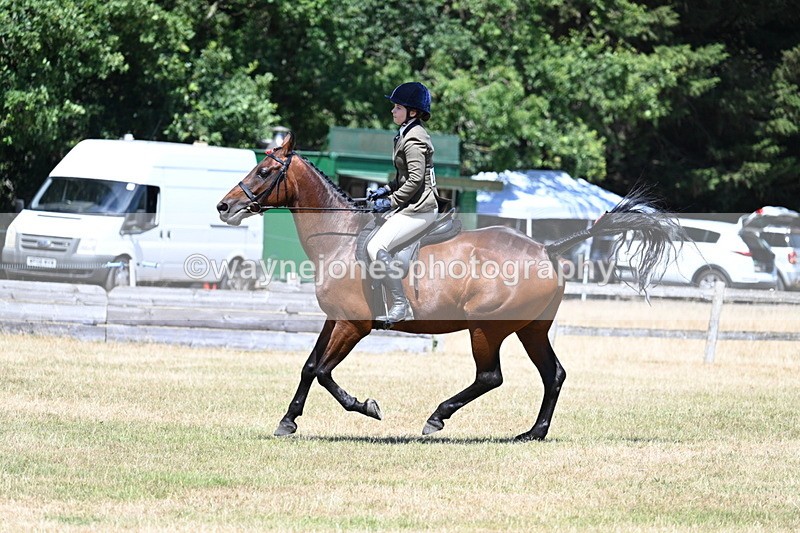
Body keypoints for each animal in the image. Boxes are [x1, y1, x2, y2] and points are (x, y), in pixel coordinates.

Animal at [216, 132, 676, 441]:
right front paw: (288, 420)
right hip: (531, 329)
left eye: (264, 171)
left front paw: (366, 407)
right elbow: (309, 366)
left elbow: (325, 371)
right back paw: (533, 432)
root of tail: (546, 248)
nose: (224, 206)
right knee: (554, 374)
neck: (339, 237)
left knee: (491, 376)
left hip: (485, 328)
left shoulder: (355, 324)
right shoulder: (335, 319)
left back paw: (438, 417)